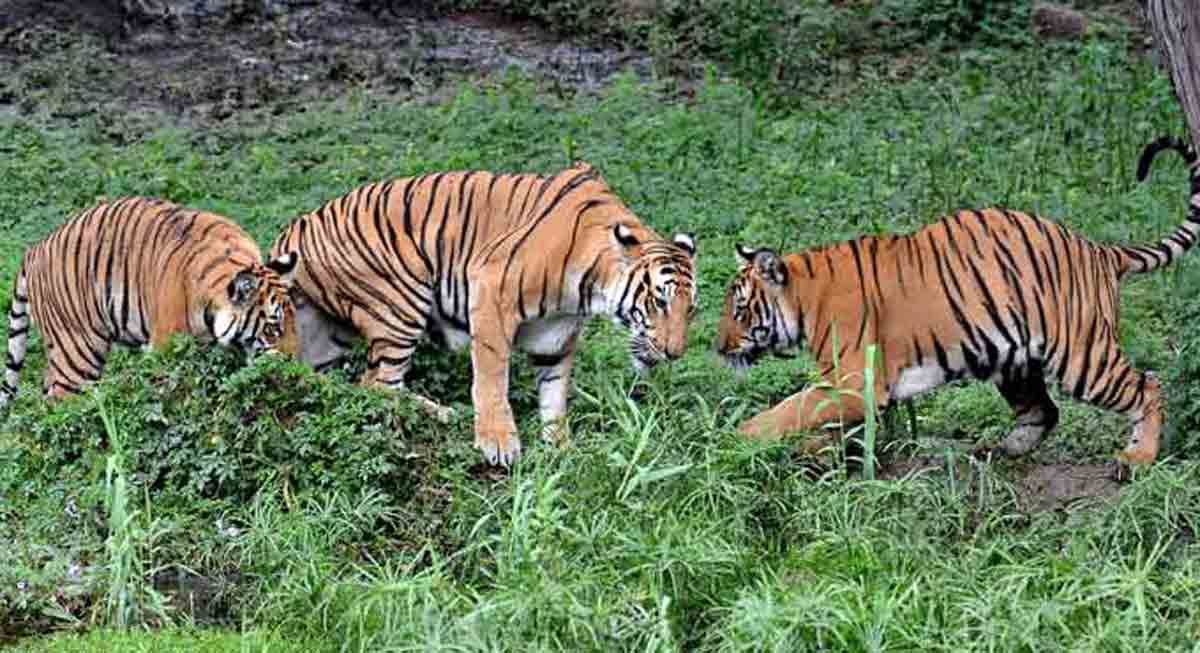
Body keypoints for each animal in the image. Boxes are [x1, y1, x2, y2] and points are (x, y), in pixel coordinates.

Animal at [269, 161, 698, 467]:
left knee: (345, 385)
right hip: (401, 305)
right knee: (376, 386)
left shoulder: (556, 335)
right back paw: (432, 420)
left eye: (690, 311)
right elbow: (492, 377)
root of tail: (293, 227)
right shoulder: (492, 290)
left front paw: (560, 447)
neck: (588, 289)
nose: (674, 353)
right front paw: (499, 442)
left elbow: (555, 392)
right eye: (660, 301)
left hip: (326, 333)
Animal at [716, 136, 1199, 468]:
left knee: (1149, 385)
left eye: (739, 310)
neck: (803, 296)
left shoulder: (854, 383)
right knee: (1044, 410)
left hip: (1083, 356)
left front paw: (742, 436)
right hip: (1014, 361)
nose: (719, 350)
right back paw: (1001, 449)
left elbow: (793, 408)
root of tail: (1098, 249)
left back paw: (1137, 459)